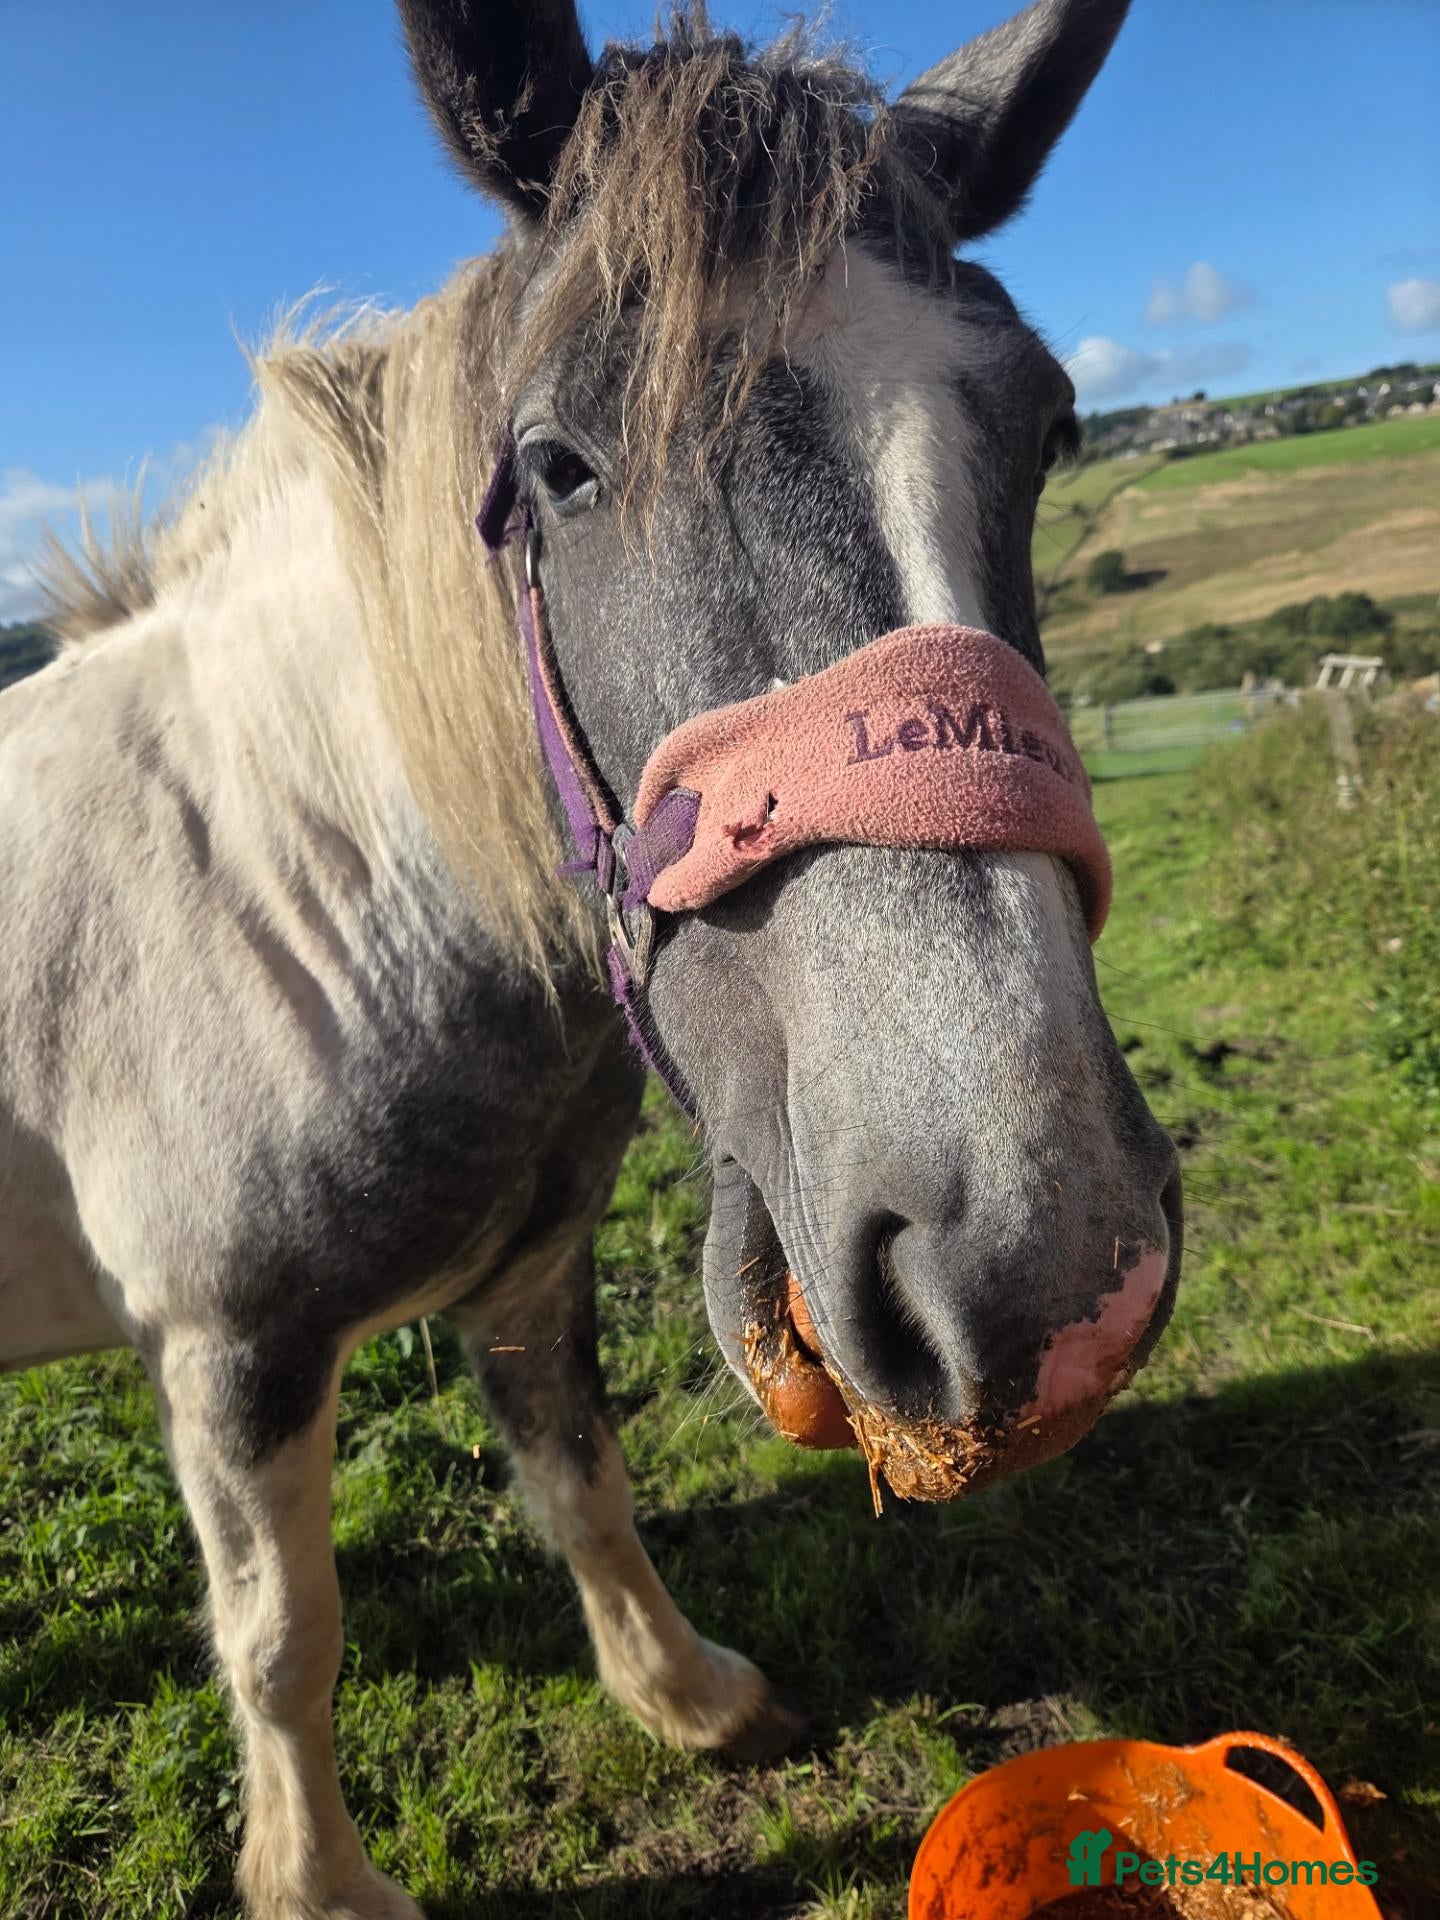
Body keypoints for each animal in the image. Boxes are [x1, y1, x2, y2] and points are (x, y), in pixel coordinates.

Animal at [0, 2, 1182, 1913]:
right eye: (559, 463)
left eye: (1051, 423)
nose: (1043, 1264)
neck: (300, 883)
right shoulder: (229, 1352)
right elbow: (283, 1639)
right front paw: (323, 1887)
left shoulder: (532, 1271)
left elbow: (583, 1486)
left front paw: (686, 1695)